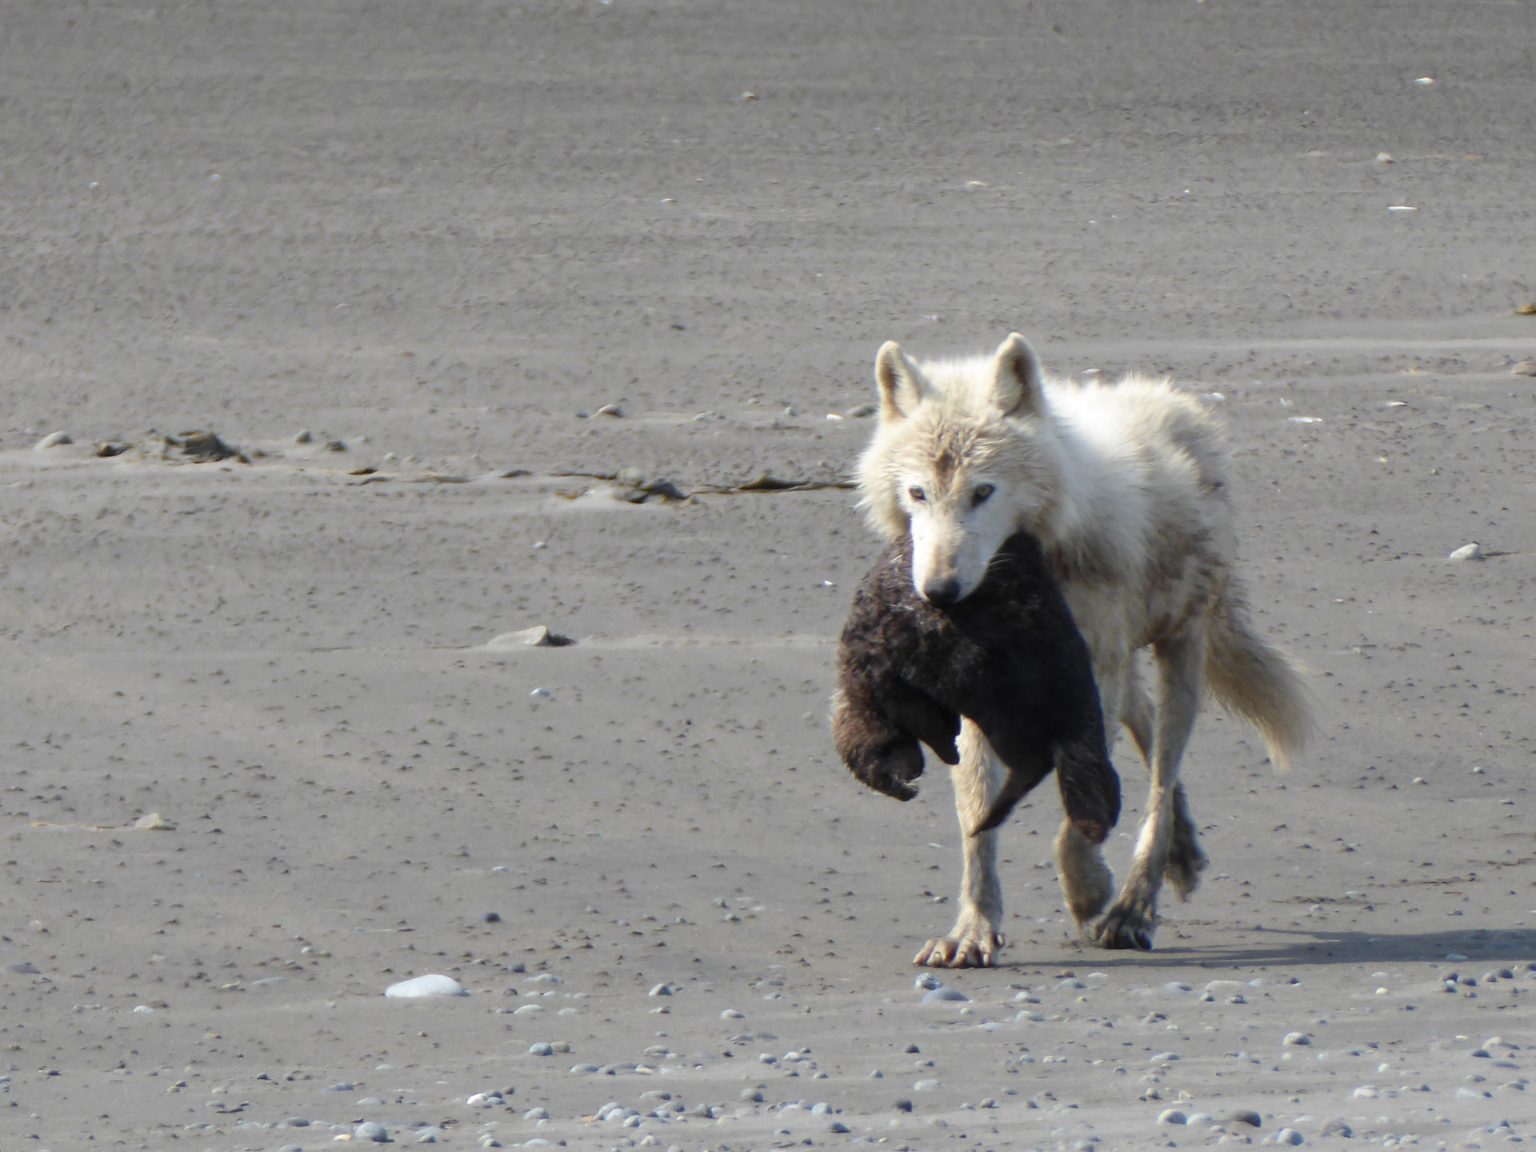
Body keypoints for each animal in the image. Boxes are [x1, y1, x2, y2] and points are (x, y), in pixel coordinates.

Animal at [856, 332, 1312, 965]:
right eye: (917, 493)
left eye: (983, 492)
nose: (940, 592)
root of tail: (1172, 403)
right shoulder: (981, 695)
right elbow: (977, 819)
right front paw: (972, 929)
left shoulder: (1095, 673)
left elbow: (1082, 802)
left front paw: (1089, 890)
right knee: (1147, 737)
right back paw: (1182, 856)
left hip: (1179, 651)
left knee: (1161, 777)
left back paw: (1134, 906)